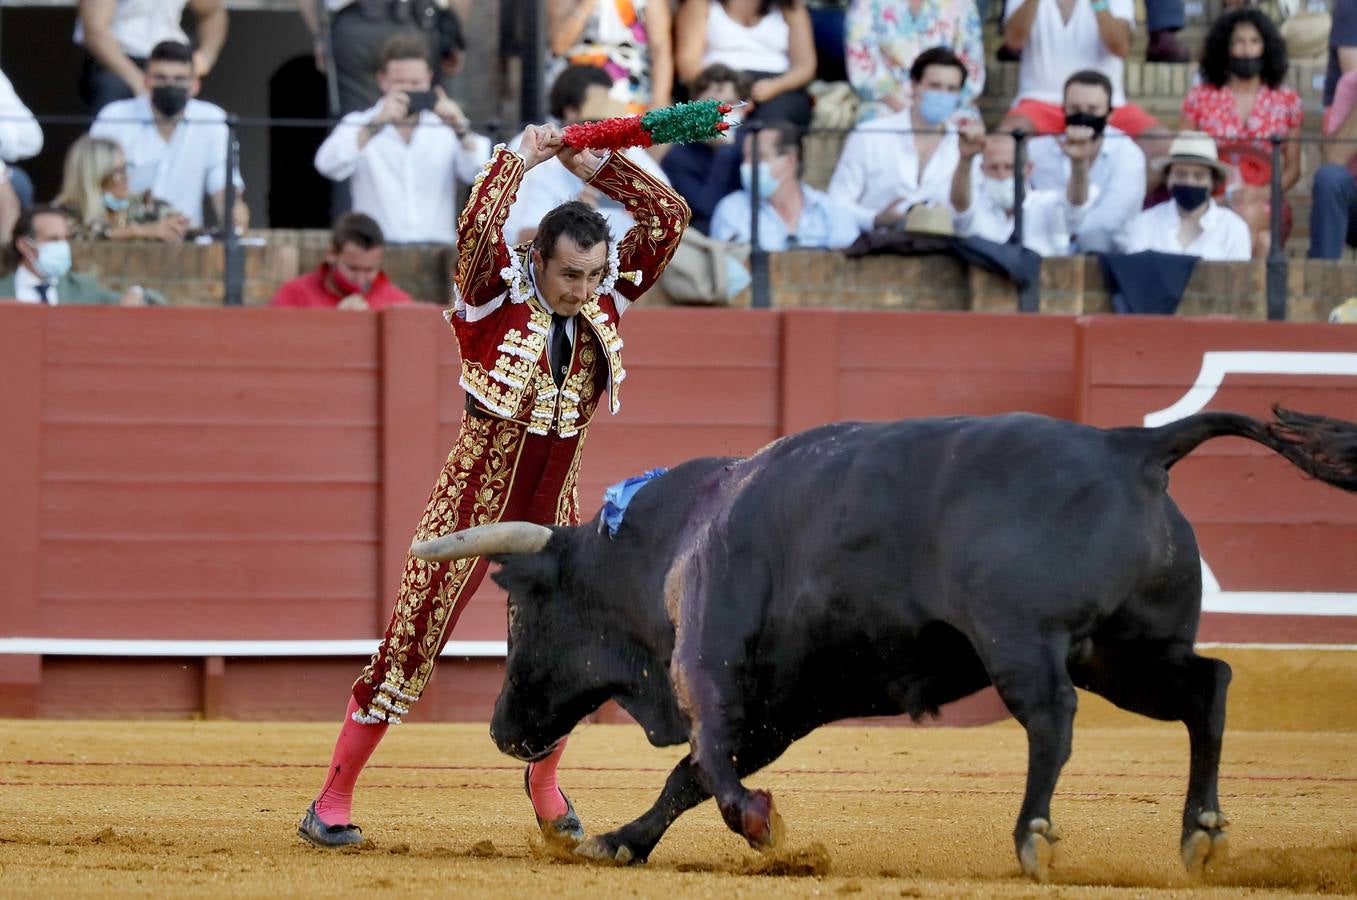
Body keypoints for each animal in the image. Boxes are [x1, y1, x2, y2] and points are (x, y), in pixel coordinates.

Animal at [409, 407, 1357, 879]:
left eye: (521, 612)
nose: (500, 730)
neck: (664, 541)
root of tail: (1133, 447)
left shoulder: (709, 668)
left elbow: (708, 762)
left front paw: (761, 825)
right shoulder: (780, 707)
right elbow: (689, 777)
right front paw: (623, 841)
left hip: (1027, 641)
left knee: (1051, 719)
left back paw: (1034, 837)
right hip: (1125, 653)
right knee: (1209, 684)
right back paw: (1201, 834)